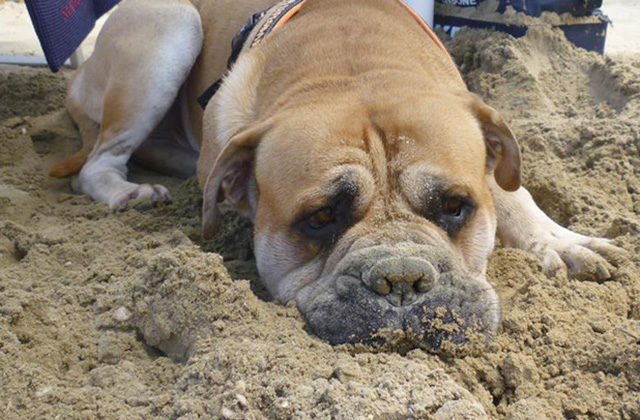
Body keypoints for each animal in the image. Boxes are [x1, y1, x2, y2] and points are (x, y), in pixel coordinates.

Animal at [52, 0, 624, 346]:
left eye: (454, 207)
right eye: (321, 218)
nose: (402, 278)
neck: (355, 67)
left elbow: (515, 195)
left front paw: (563, 242)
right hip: (169, 26)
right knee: (98, 160)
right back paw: (131, 193)